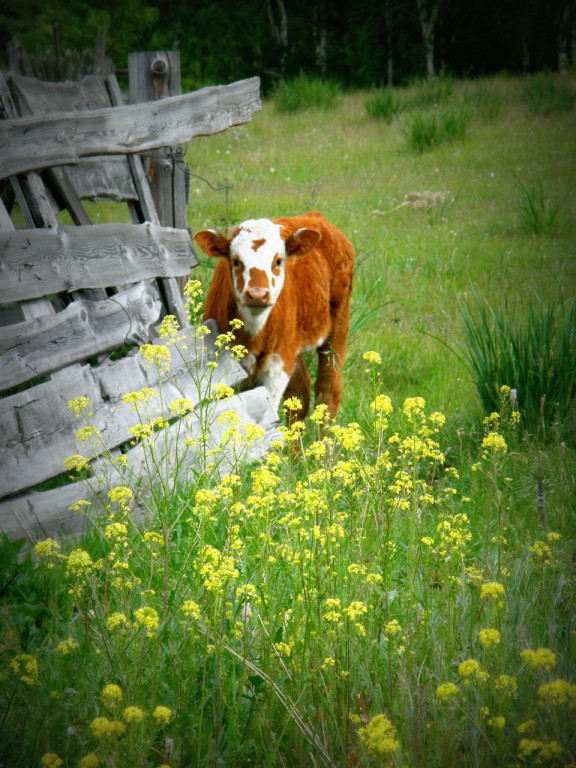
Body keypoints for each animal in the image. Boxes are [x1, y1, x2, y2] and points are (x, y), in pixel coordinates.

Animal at [196, 212, 354, 420]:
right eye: (236, 261)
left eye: (278, 260)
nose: (257, 294)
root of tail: (315, 215)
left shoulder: (276, 366)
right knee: (300, 392)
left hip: (338, 327)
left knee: (327, 389)